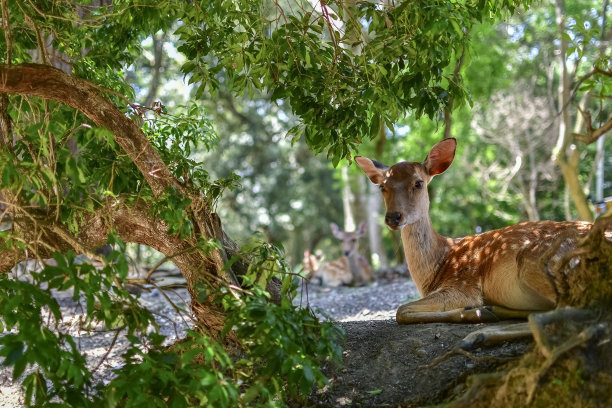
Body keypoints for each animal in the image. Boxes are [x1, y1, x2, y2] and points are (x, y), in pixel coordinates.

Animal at [354, 139, 592, 324]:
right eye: (382, 187)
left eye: (419, 183)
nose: (393, 217)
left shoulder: (463, 286)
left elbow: (400, 310)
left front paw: (470, 311)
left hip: (541, 263)